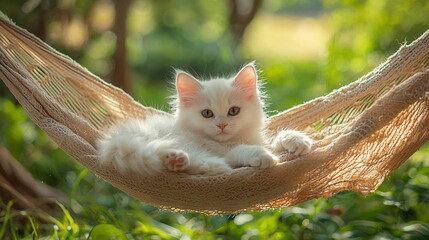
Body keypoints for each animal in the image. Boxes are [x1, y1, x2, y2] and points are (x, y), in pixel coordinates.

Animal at [96, 62, 310, 175]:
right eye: (207, 113)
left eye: (233, 111)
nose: (222, 125)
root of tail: (116, 140)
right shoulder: (225, 151)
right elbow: (242, 150)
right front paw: (263, 156)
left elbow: (277, 140)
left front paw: (297, 141)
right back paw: (189, 163)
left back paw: (176, 160)